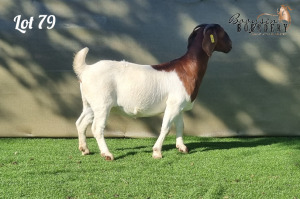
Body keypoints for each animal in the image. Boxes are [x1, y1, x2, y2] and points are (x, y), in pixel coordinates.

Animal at [72, 23, 232, 160]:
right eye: (223, 32)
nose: (231, 46)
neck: (187, 69)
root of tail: (86, 69)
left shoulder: (179, 106)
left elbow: (180, 125)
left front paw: (182, 147)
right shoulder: (173, 105)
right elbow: (165, 127)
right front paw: (157, 152)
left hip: (90, 104)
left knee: (81, 122)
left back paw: (84, 149)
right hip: (102, 103)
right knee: (97, 128)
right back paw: (107, 154)